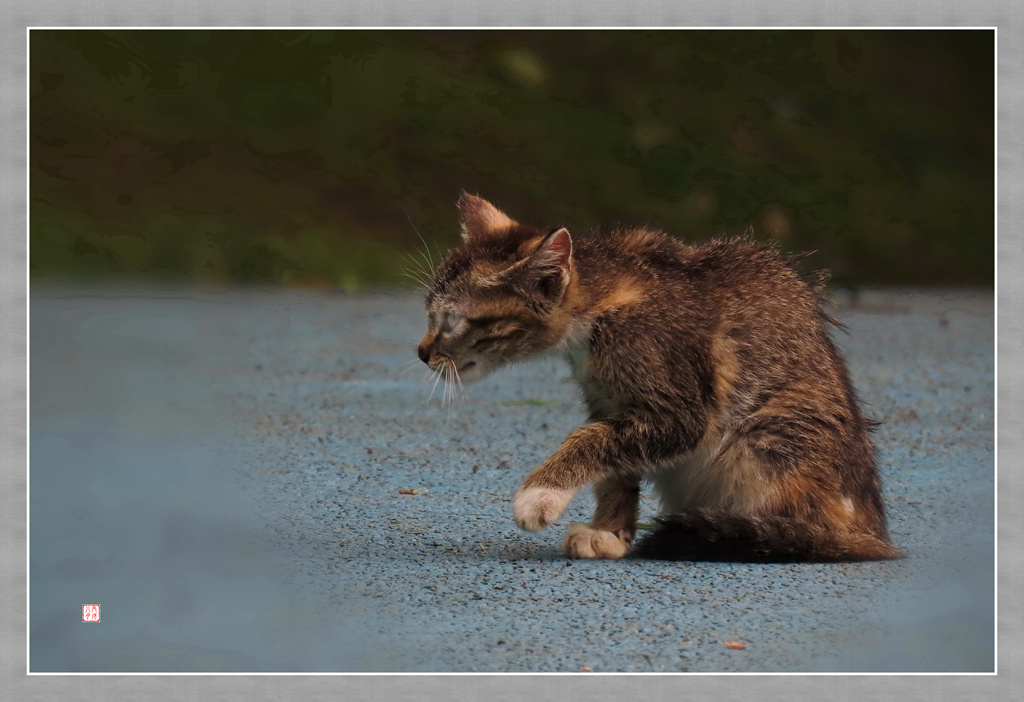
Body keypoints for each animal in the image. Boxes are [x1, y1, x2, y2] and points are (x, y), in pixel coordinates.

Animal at [415, 195, 897, 564]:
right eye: (429, 313)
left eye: (451, 320)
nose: (421, 353)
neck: (600, 307)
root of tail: (872, 531)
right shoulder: (610, 401)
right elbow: (612, 457)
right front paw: (609, 533)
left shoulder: (681, 410)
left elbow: (591, 437)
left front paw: (540, 494)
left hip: (769, 432)